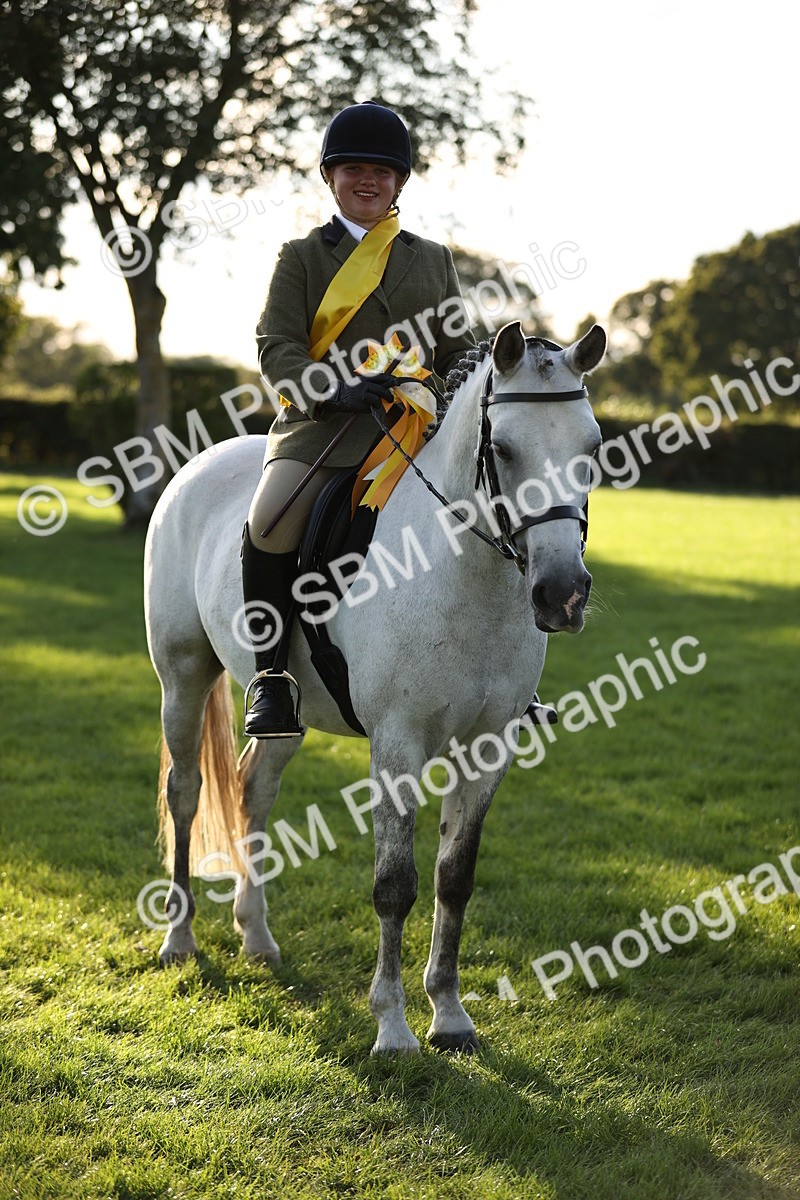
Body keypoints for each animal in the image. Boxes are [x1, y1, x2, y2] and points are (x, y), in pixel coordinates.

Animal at [143, 319, 606, 1054]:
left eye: (592, 447)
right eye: (503, 449)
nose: (562, 595)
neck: (464, 574)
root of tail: (195, 466)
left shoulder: (488, 747)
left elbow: (454, 877)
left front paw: (449, 1014)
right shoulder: (397, 745)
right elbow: (395, 885)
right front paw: (392, 1026)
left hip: (288, 710)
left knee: (253, 790)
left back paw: (258, 936)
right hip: (182, 674)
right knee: (185, 793)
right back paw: (179, 939)